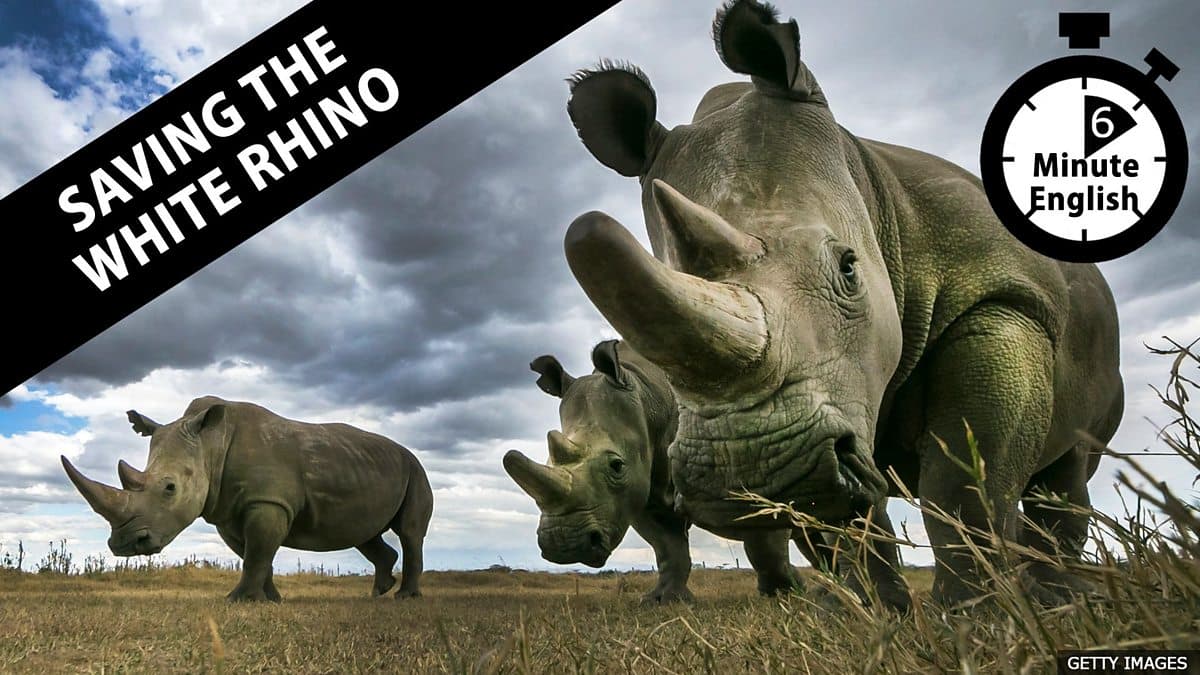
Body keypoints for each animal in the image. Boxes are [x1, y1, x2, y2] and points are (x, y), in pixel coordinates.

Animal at [60, 396, 434, 601]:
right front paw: (271, 600)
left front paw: (238, 601)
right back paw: (379, 592)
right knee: (364, 533)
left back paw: (405, 597)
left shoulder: (267, 501)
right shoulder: (226, 511)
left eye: (169, 488)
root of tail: (405, 452)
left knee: (410, 532)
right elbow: (254, 554)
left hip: (416, 469)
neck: (209, 444)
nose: (124, 545)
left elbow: (257, 552)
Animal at [503, 340, 828, 603]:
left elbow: (764, 543)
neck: (647, 395)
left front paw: (784, 594)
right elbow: (669, 549)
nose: (563, 546)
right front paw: (663, 600)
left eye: (616, 466)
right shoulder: (648, 493)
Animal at [560, 0, 1123, 607]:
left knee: (1065, 469)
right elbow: (847, 521)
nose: (752, 471)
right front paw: (879, 612)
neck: (866, 185)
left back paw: (1060, 600)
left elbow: (963, 481)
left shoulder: (1003, 300)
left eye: (849, 269)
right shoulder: (840, 414)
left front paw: (972, 613)